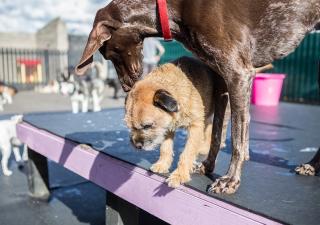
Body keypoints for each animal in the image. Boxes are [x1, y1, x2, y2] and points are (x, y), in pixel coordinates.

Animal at [125, 56, 230, 188]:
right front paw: (162, 164)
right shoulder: (167, 127)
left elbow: (187, 153)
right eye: (130, 127)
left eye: (147, 125)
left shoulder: (195, 126)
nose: (137, 146)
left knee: (217, 134)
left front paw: (180, 175)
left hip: (220, 111)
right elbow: (165, 148)